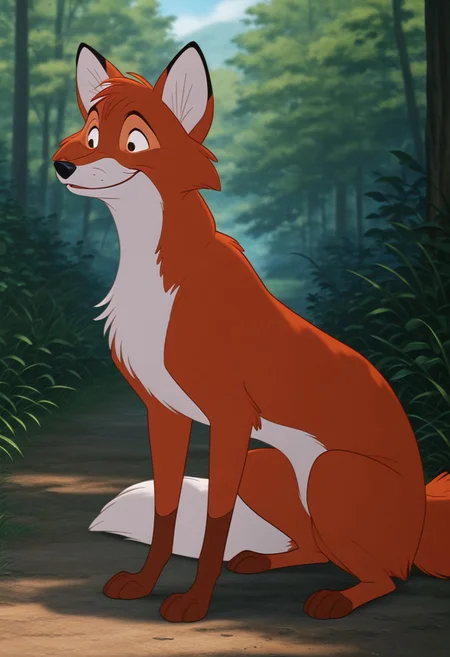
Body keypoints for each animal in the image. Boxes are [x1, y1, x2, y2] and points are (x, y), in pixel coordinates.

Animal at [53, 41, 450, 623]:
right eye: (89, 130)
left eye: (133, 141)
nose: (61, 164)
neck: (158, 281)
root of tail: (422, 517)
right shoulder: (165, 413)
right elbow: (167, 514)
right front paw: (144, 583)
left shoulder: (230, 419)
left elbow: (214, 522)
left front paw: (194, 603)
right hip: (270, 470)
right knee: (320, 547)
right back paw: (263, 561)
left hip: (328, 473)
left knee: (388, 577)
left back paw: (337, 598)